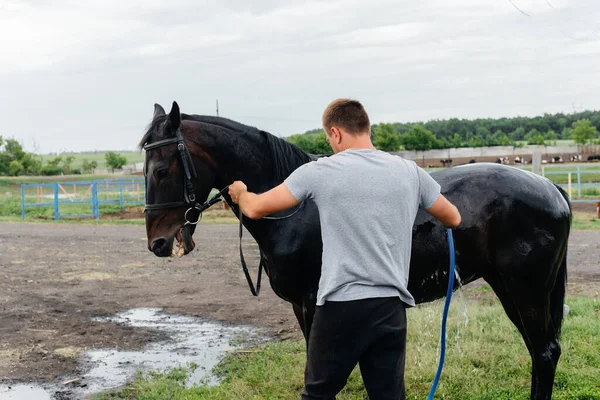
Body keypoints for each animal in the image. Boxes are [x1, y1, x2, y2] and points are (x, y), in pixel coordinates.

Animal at [142, 103, 572, 400]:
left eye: (161, 170)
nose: (158, 244)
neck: (296, 208)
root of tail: (551, 189)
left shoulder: (313, 302)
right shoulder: (303, 305)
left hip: (526, 290)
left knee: (545, 351)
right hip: (511, 288)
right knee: (539, 352)